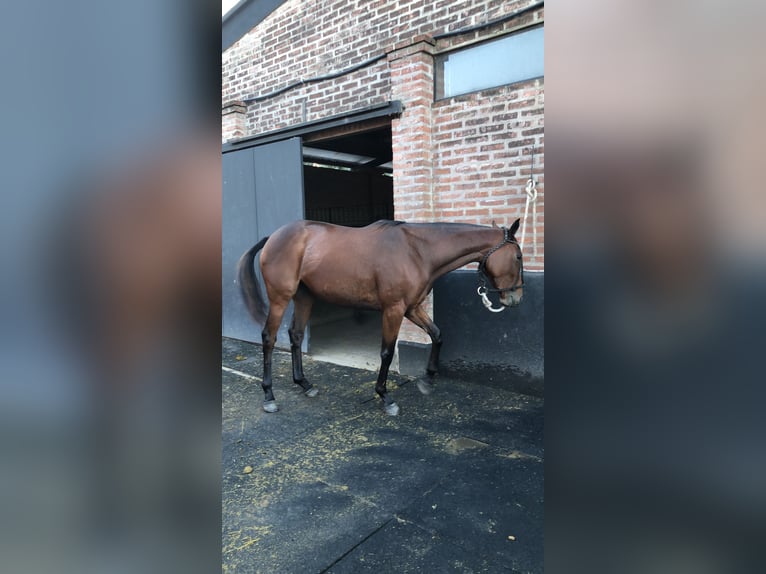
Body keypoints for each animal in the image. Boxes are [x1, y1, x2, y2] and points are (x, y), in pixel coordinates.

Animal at [237, 218, 524, 416]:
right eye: (518, 256)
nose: (516, 298)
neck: (418, 251)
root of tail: (273, 237)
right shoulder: (394, 309)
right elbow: (386, 353)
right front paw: (385, 397)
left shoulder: (412, 308)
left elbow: (437, 335)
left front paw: (428, 379)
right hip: (280, 298)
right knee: (269, 338)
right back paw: (269, 396)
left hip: (304, 297)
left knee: (295, 335)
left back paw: (305, 384)